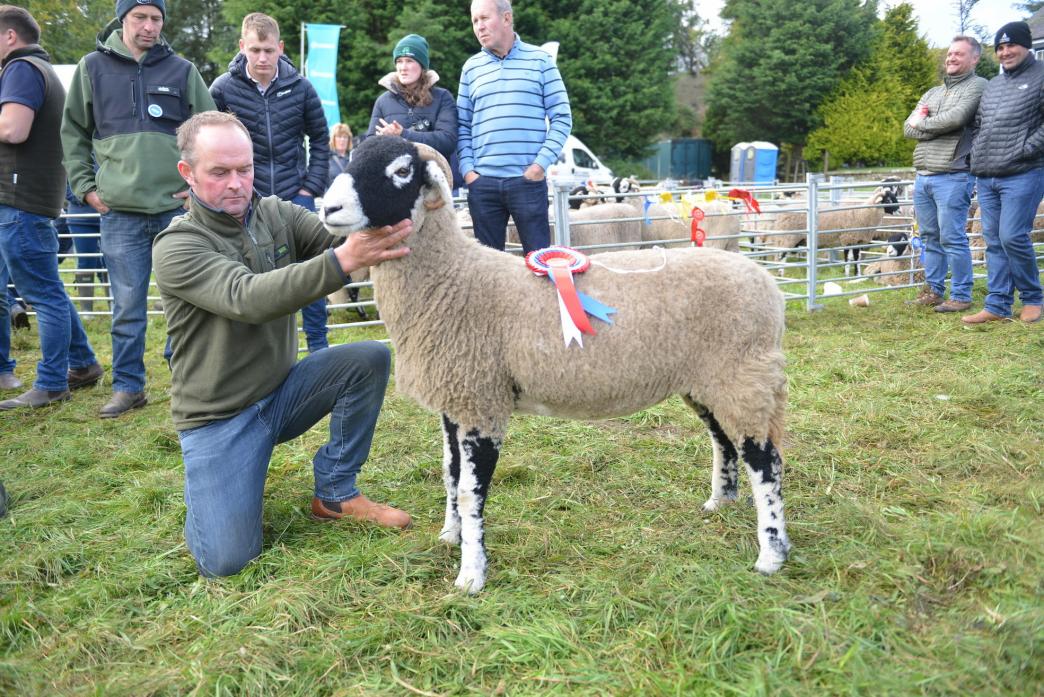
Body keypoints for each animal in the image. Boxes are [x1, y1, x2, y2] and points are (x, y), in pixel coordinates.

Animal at [321, 137, 785, 592]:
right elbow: (450, 476)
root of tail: (767, 284)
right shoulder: (456, 400)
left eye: (401, 171)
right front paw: (450, 536)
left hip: (744, 376)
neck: (455, 279)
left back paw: (772, 554)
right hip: (709, 381)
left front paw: (471, 574)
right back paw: (720, 502)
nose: (328, 209)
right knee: (723, 441)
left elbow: (471, 492)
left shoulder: (482, 403)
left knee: (765, 461)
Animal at [755, 190, 902, 277]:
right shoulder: (847, 239)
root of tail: (780, 215)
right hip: (789, 237)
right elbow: (847, 258)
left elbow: (857, 259)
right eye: (888, 200)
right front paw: (847, 274)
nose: (900, 211)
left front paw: (857, 274)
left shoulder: (858, 240)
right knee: (782, 256)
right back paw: (781, 273)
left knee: (780, 254)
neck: (863, 213)